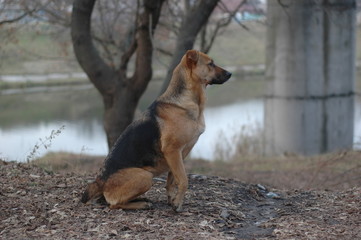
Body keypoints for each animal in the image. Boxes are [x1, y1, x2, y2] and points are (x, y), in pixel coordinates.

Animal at [80, 49, 231, 212]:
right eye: (211, 64)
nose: (230, 74)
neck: (186, 101)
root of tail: (100, 182)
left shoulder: (179, 155)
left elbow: (172, 180)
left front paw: (172, 200)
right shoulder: (173, 151)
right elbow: (184, 180)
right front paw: (178, 204)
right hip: (145, 176)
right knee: (113, 204)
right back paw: (141, 204)